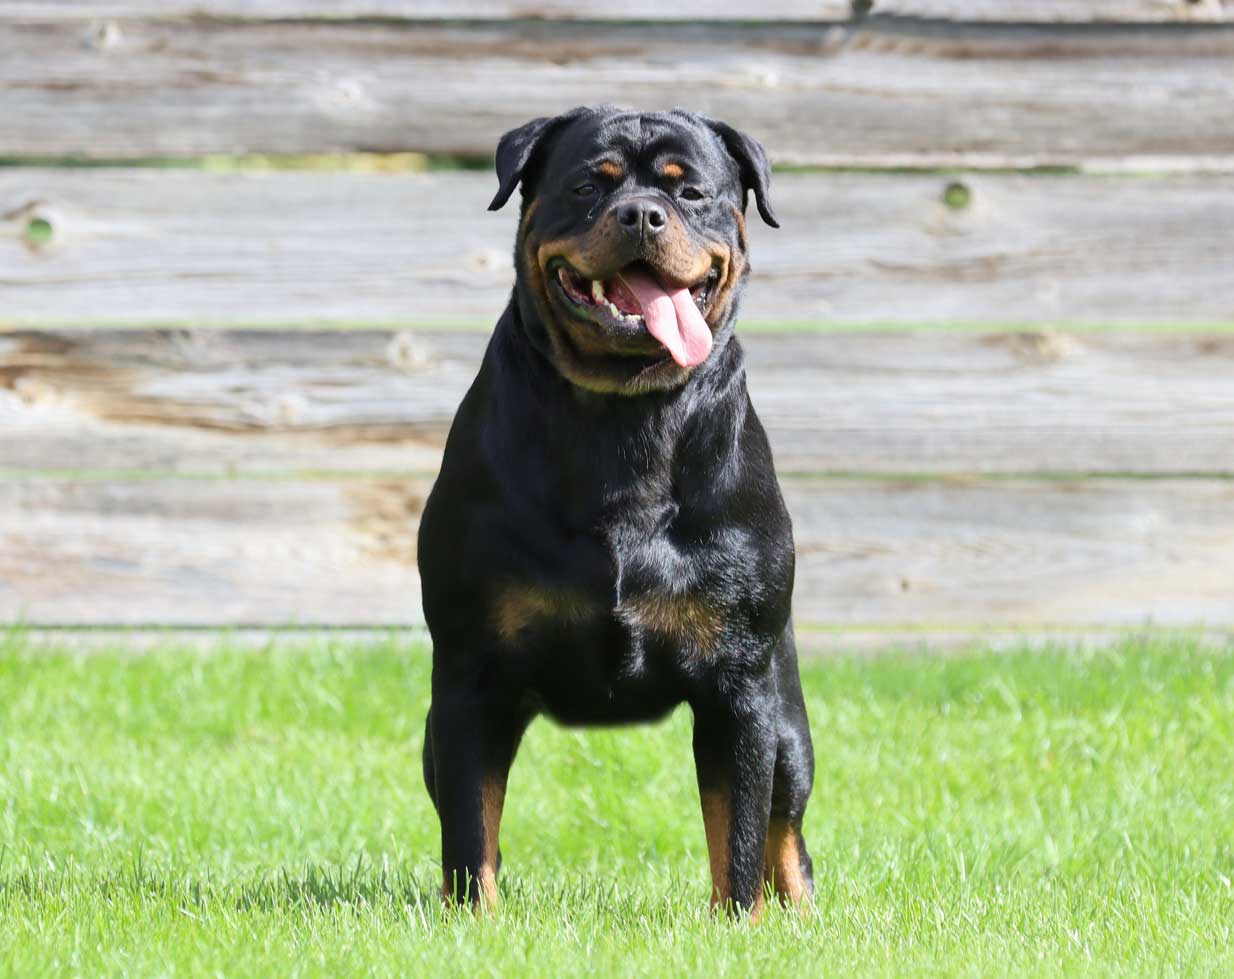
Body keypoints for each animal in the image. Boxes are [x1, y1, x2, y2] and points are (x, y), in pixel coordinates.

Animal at [419, 103, 814, 913]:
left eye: (690, 191)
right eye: (586, 186)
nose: (640, 212)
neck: (624, 420)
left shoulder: (740, 685)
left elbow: (739, 833)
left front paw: (740, 925)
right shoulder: (471, 671)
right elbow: (471, 829)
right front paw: (475, 921)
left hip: (788, 722)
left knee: (787, 829)